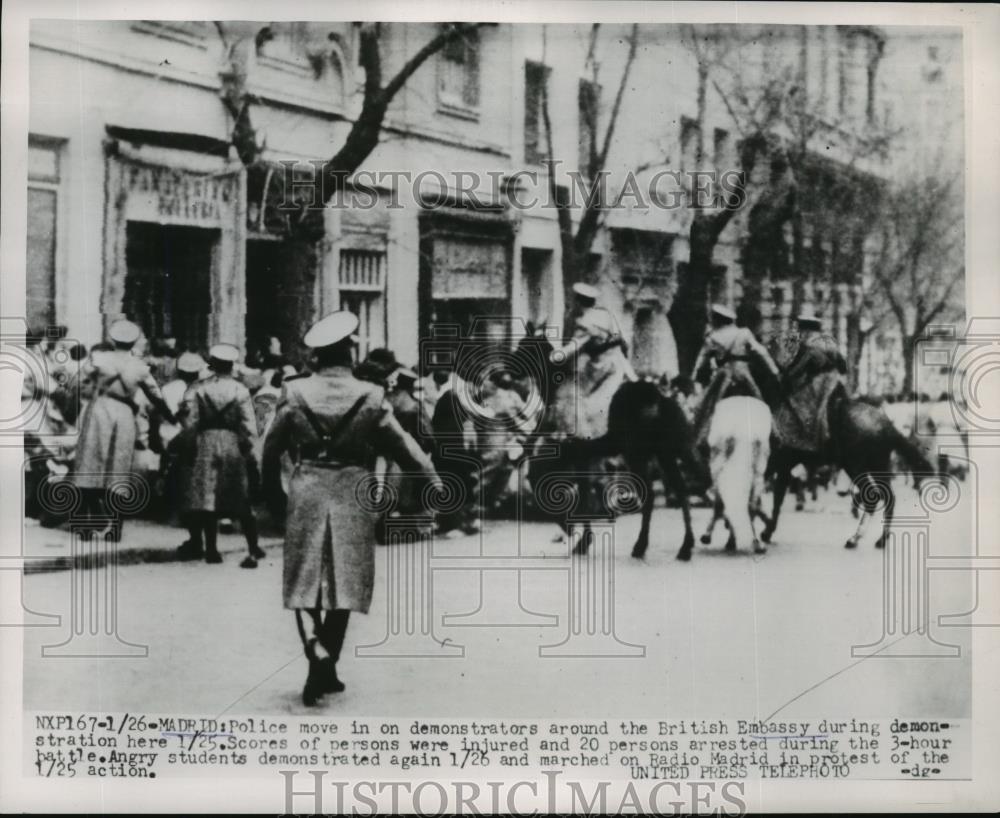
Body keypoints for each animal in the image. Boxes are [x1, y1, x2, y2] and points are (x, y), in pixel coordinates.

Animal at [512, 328, 700, 556]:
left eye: (524, 346)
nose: (504, 374)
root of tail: (657, 396)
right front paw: (577, 534)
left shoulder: (575, 453)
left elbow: (574, 491)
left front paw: (580, 538)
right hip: (665, 452)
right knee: (681, 489)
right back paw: (685, 545)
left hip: (636, 454)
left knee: (651, 495)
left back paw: (641, 545)